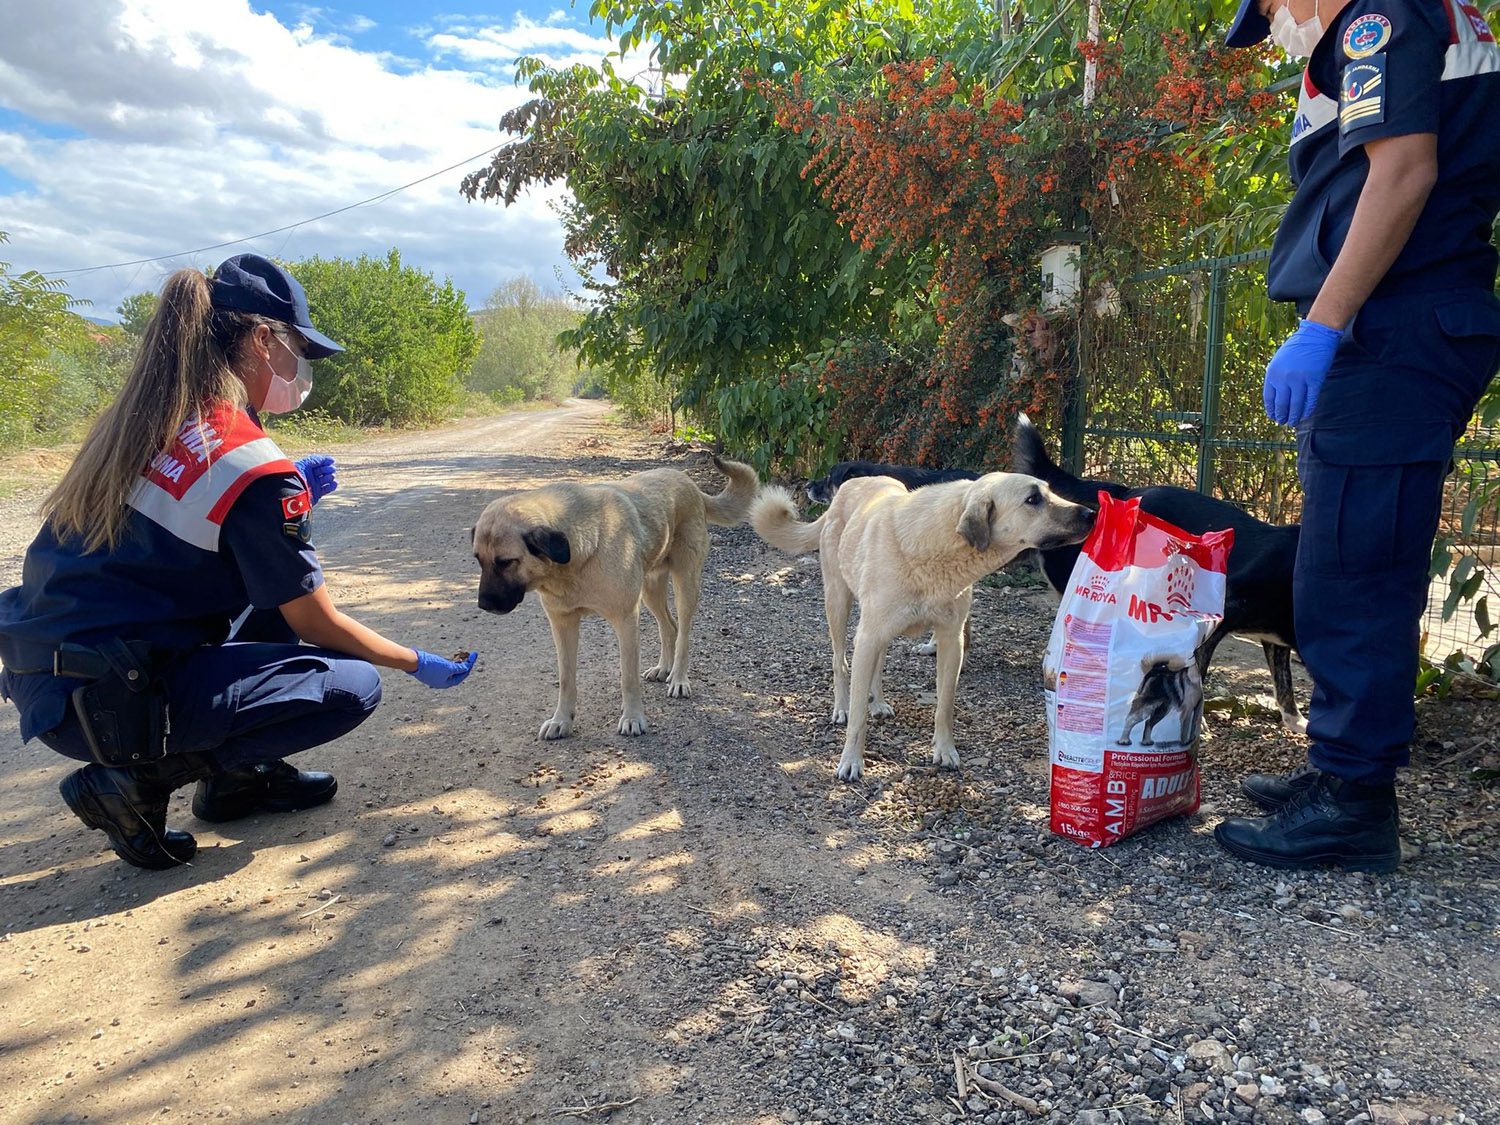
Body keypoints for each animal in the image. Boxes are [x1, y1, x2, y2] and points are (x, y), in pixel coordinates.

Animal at [471, 459, 756, 741]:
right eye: (478, 559)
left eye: (506, 562)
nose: (484, 605)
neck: (575, 560)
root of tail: (690, 484)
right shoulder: (562, 624)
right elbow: (566, 679)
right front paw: (561, 720)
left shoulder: (626, 619)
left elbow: (628, 678)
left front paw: (633, 718)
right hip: (651, 589)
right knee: (669, 626)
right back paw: (663, 668)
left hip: (685, 585)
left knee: (683, 632)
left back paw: (678, 678)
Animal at [750, 477, 1092, 786]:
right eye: (1033, 499)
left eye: (1048, 491)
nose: (1091, 512)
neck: (938, 544)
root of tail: (850, 484)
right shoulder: (868, 636)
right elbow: (858, 718)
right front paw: (851, 761)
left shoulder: (950, 640)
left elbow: (944, 705)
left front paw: (945, 751)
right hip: (839, 603)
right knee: (839, 662)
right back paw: (841, 707)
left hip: (878, 630)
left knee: (877, 665)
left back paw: (878, 702)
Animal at [1014, 411, 1308, 732]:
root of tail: (1128, 492)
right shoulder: (1219, 614)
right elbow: (1199, 670)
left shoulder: (1275, 639)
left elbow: (1284, 683)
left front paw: (1296, 721)